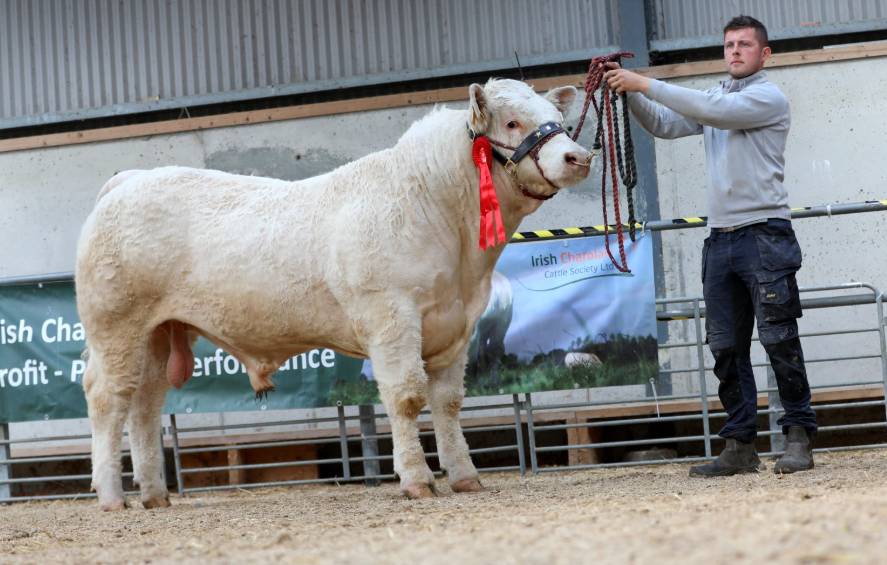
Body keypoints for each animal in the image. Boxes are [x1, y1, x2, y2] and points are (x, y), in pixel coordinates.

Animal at [76, 78, 590, 510]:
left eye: (559, 120)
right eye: (512, 122)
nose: (578, 157)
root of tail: (128, 179)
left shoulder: (457, 324)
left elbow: (447, 402)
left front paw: (464, 476)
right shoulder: (390, 315)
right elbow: (407, 397)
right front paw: (417, 480)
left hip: (159, 332)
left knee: (144, 404)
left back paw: (154, 494)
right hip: (116, 326)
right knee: (107, 400)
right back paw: (112, 495)